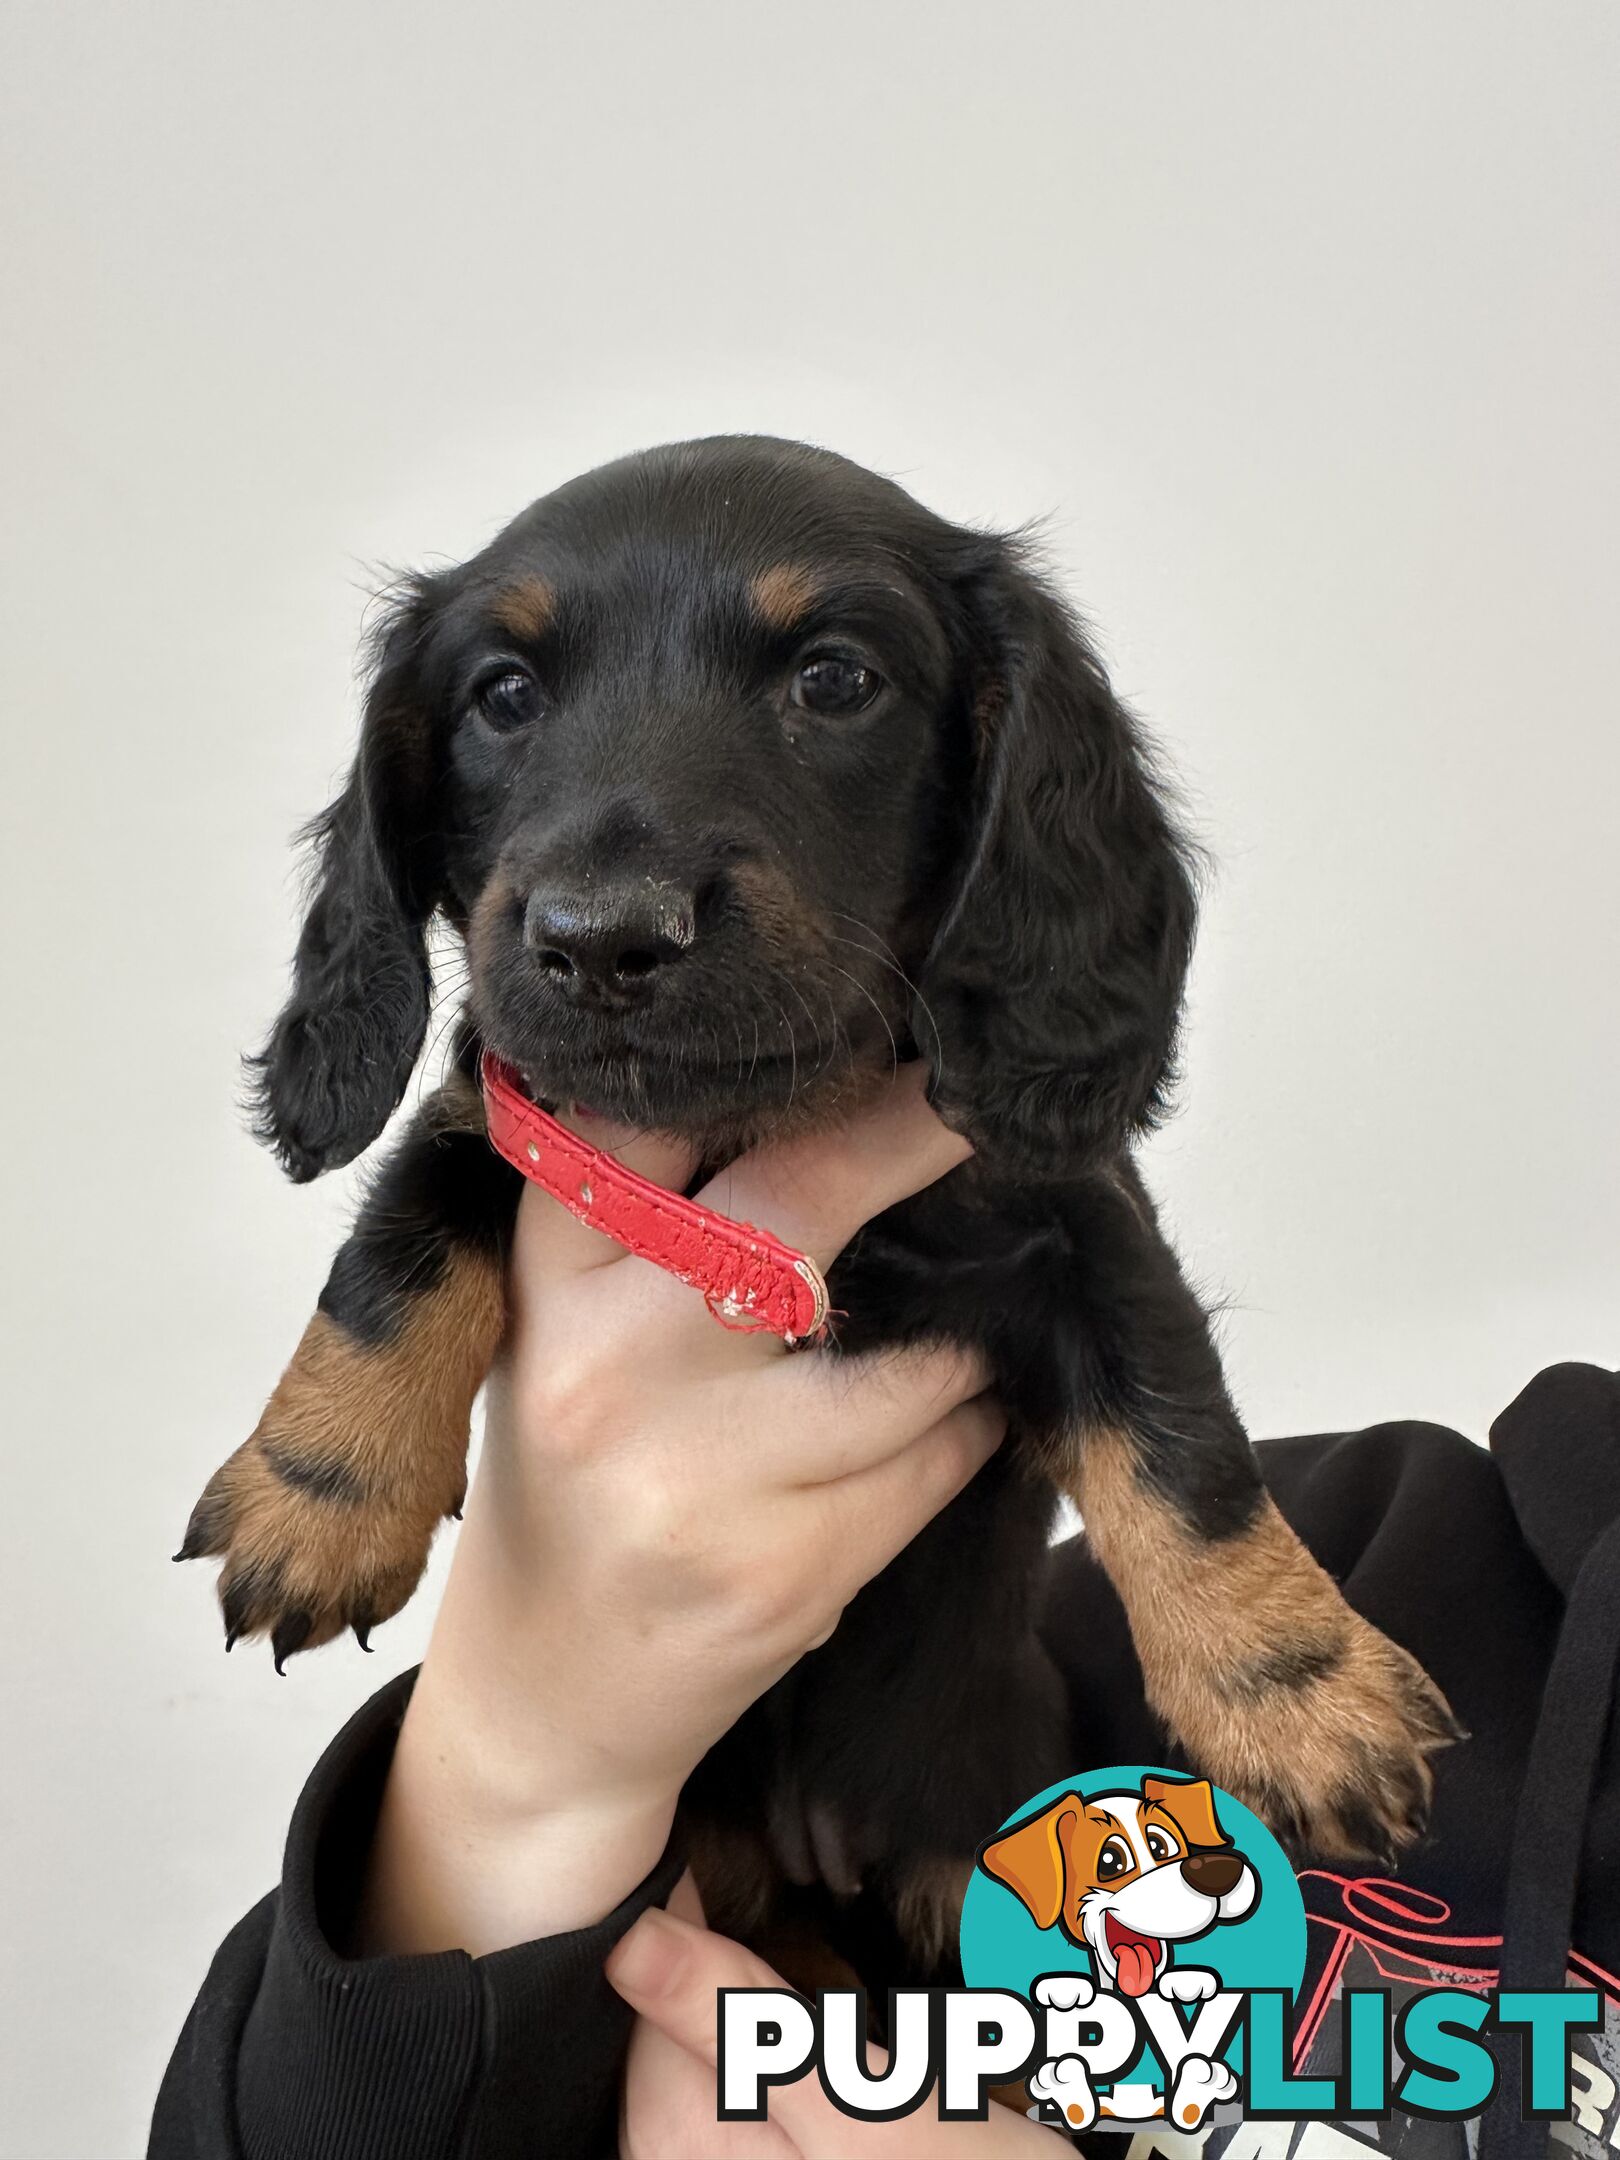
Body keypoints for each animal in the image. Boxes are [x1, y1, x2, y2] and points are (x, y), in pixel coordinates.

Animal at [183, 438, 1468, 1978]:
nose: (602, 940)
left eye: (835, 679)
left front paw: (1301, 1694)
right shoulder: (502, 1125)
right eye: (502, 695)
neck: (758, 1129)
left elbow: (1185, 1452)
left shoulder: (1084, 1228)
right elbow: (399, 1245)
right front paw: (317, 1495)